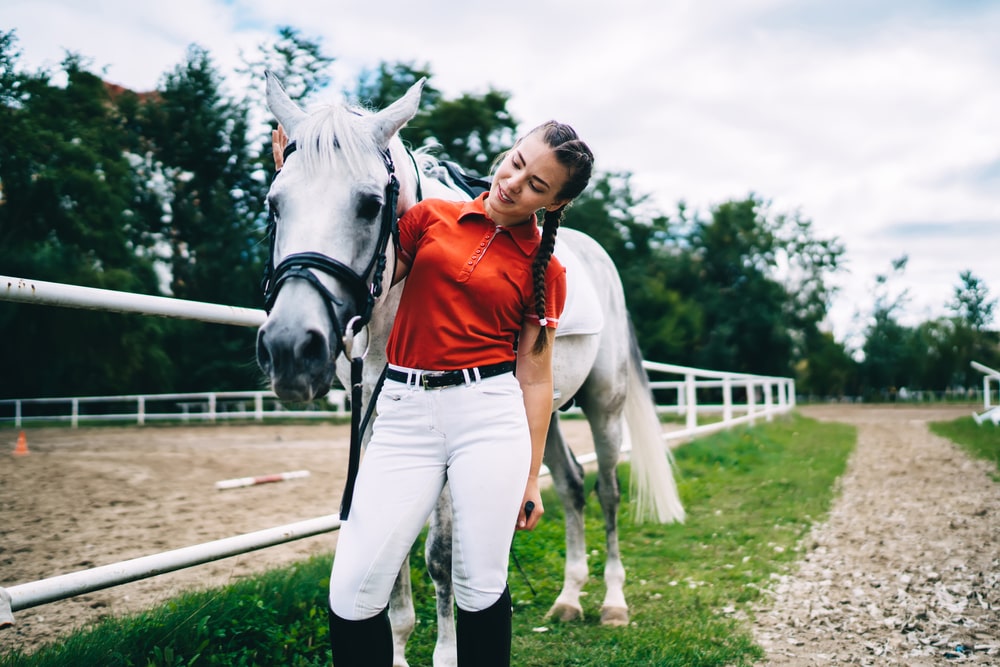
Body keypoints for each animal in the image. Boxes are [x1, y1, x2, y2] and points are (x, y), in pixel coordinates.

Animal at [254, 73, 684, 667]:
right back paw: (569, 599)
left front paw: (444, 653)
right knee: (571, 485)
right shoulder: (375, 429)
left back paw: (613, 603)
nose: (292, 349)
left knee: (607, 492)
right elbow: (389, 556)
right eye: (275, 204)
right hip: (544, 413)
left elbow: (439, 554)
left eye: (369, 205)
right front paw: (397, 649)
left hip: (605, 403)